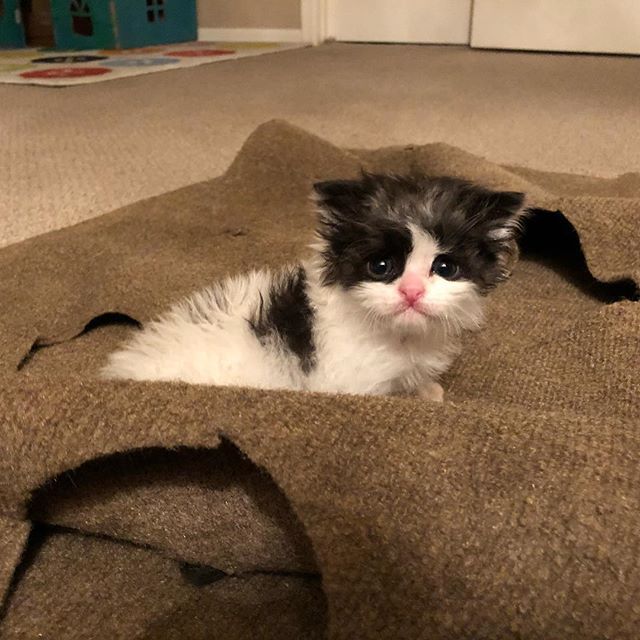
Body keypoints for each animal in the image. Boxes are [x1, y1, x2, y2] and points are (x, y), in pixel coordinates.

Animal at [102, 173, 526, 400]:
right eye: (381, 266)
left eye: (445, 267)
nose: (412, 292)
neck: (397, 336)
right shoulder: (349, 382)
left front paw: (427, 390)